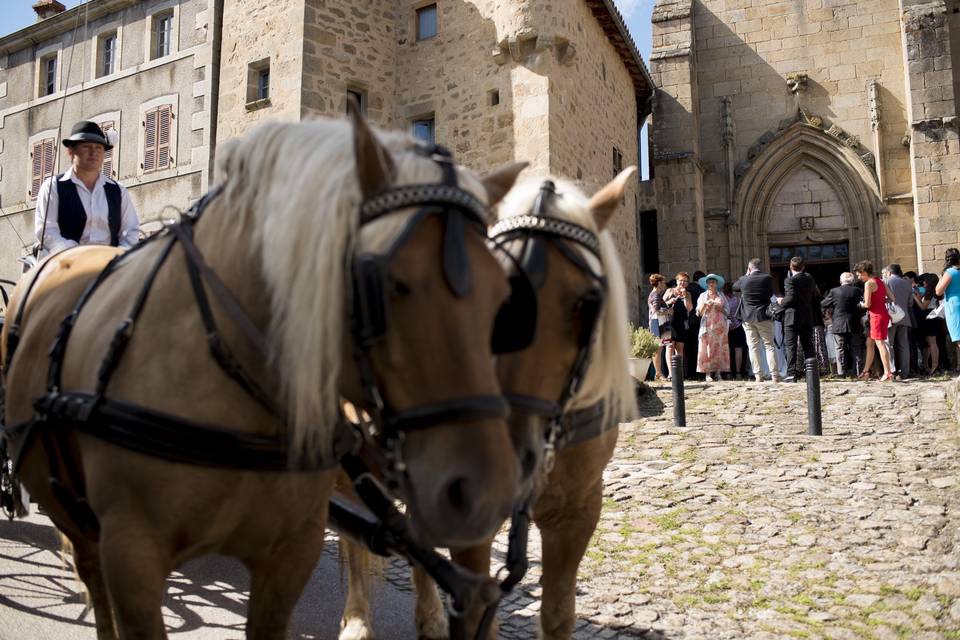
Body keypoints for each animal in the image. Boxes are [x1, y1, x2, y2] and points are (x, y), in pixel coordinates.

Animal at [0, 107, 524, 636]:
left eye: (505, 296)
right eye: (385, 283)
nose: (491, 492)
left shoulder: (292, 552)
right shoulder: (132, 560)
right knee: (89, 570)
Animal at [338, 168, 636, 636]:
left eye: (587, 303)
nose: (508, 460)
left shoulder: (578, 511)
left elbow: (557, 615)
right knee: (352, 539)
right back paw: (357, 621)